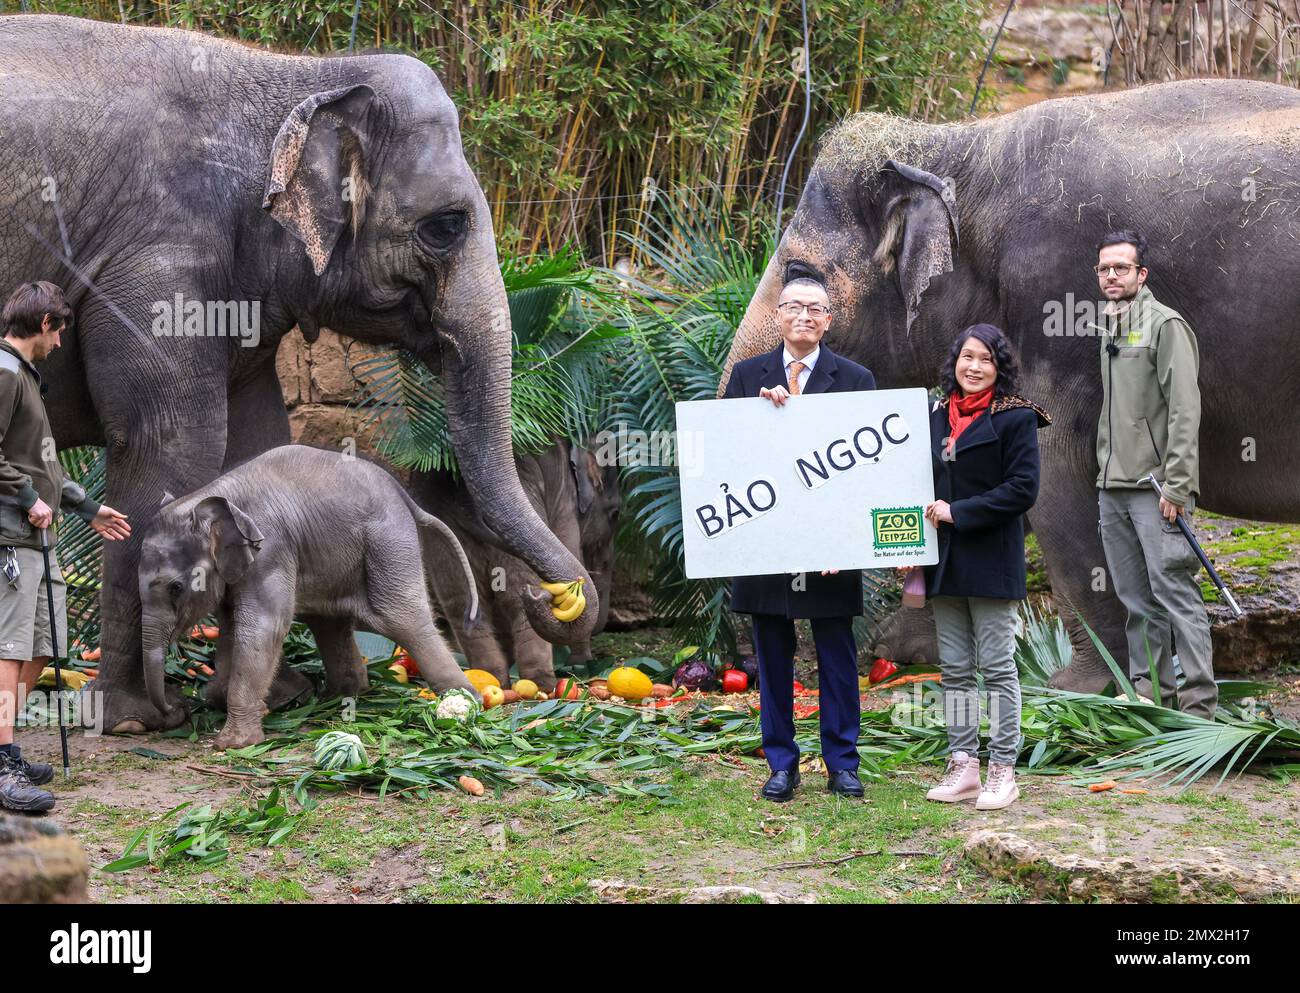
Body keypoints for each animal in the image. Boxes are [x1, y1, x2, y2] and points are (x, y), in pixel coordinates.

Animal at [138, 447, 483, 748]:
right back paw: (340, 696)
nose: (174, 709)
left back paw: (467, 703)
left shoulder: (271, 550)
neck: (212, 495)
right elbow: (232, 627)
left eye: (176, 587)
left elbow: (263, 627)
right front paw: (273, 700)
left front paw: (233, 743)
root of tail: (406, 498)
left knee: (399, 617)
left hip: (388, 542)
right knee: (329, 621)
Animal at [722, 79, 1300, 691]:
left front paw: (1080, 688)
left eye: (798, 271)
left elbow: (1053, 471)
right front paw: (906, 646)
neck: (967, 150)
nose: (745, 668)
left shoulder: (1058, 303)